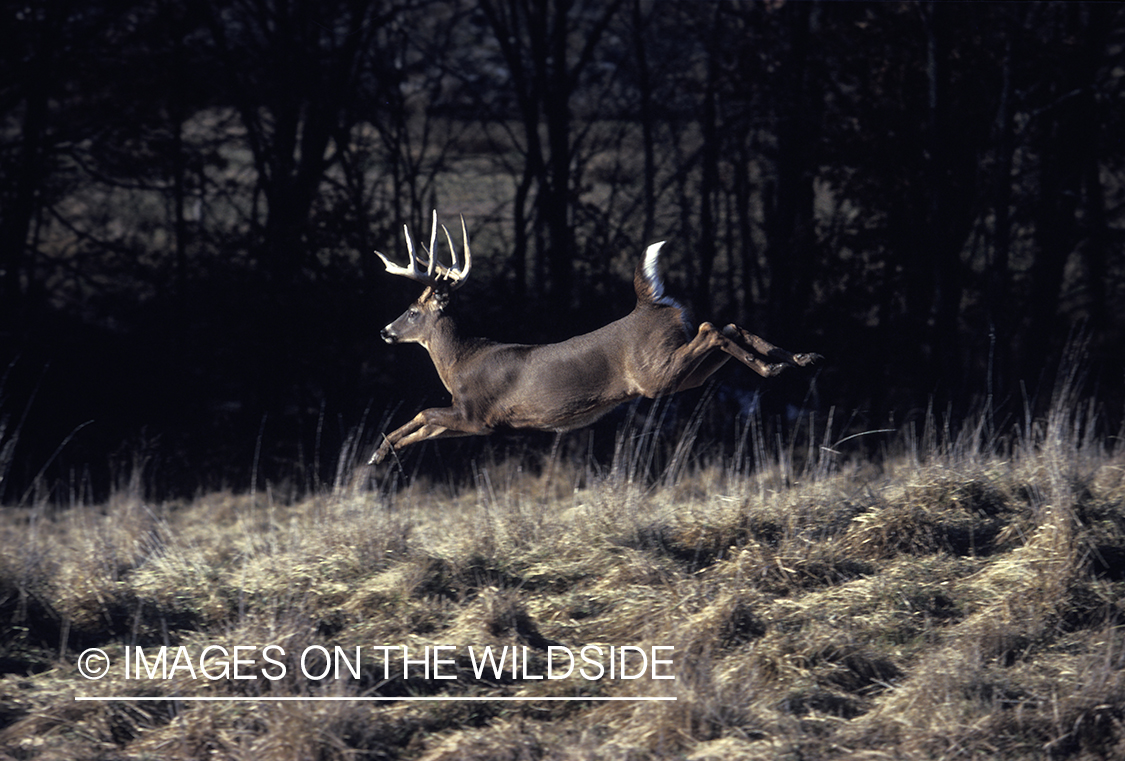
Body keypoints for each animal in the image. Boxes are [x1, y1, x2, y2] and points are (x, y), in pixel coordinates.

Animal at [369, 211, 821, 465]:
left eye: (412, 311)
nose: (385, 331)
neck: (459, 362)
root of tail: (650, 304)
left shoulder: (479, 414)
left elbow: (424, 413)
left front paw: (379, 449)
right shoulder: (476, 422)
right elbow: (425, 425)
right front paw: (383, 453)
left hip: (657, 373)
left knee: (712, 329)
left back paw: (776, 366)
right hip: (679, 374)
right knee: (727, 326)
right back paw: (797, 359)